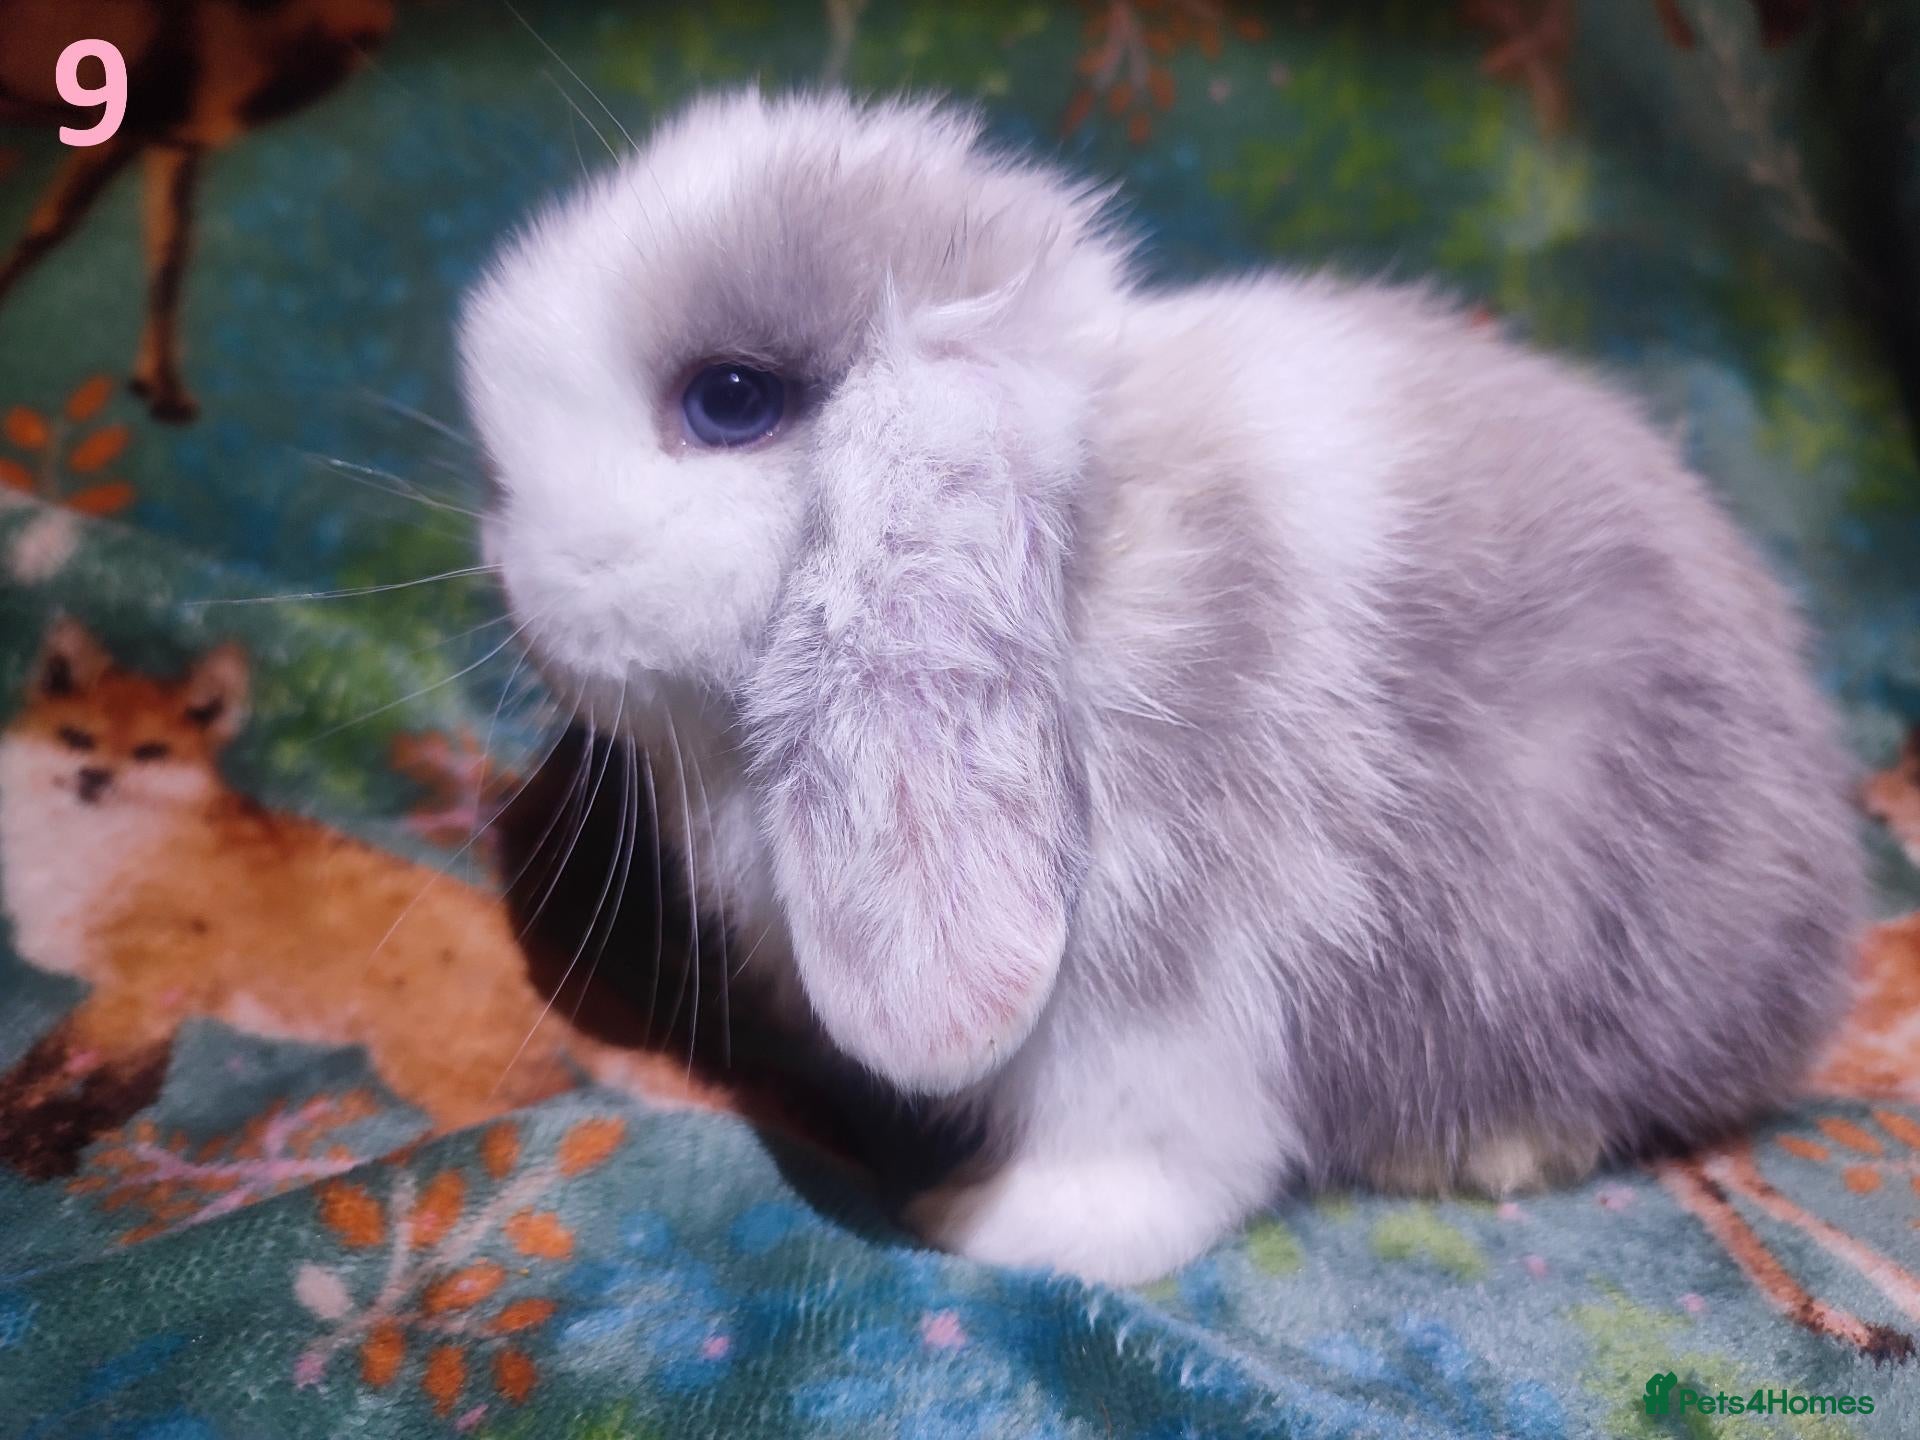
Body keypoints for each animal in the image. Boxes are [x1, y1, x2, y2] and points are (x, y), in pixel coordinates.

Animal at [455, 90, 1865, 1285]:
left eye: (731, 400)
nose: (510, 577)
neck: (1083, 572)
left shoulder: (1168, 997)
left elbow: (1146, 1156)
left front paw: (992, 1225)